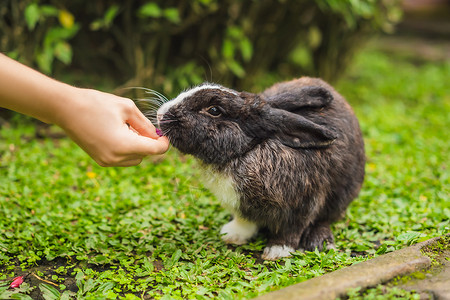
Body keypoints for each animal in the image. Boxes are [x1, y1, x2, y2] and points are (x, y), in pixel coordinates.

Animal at [156, 77, 366, 260]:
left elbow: (292, 229)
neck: (244, 152)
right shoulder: (241, 206)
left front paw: (277, 251)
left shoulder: (304, 203)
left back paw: (320, 241)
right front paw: (232, 235)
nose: (160, 114)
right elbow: (245, 221)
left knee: (325, 219)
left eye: (214, 110)